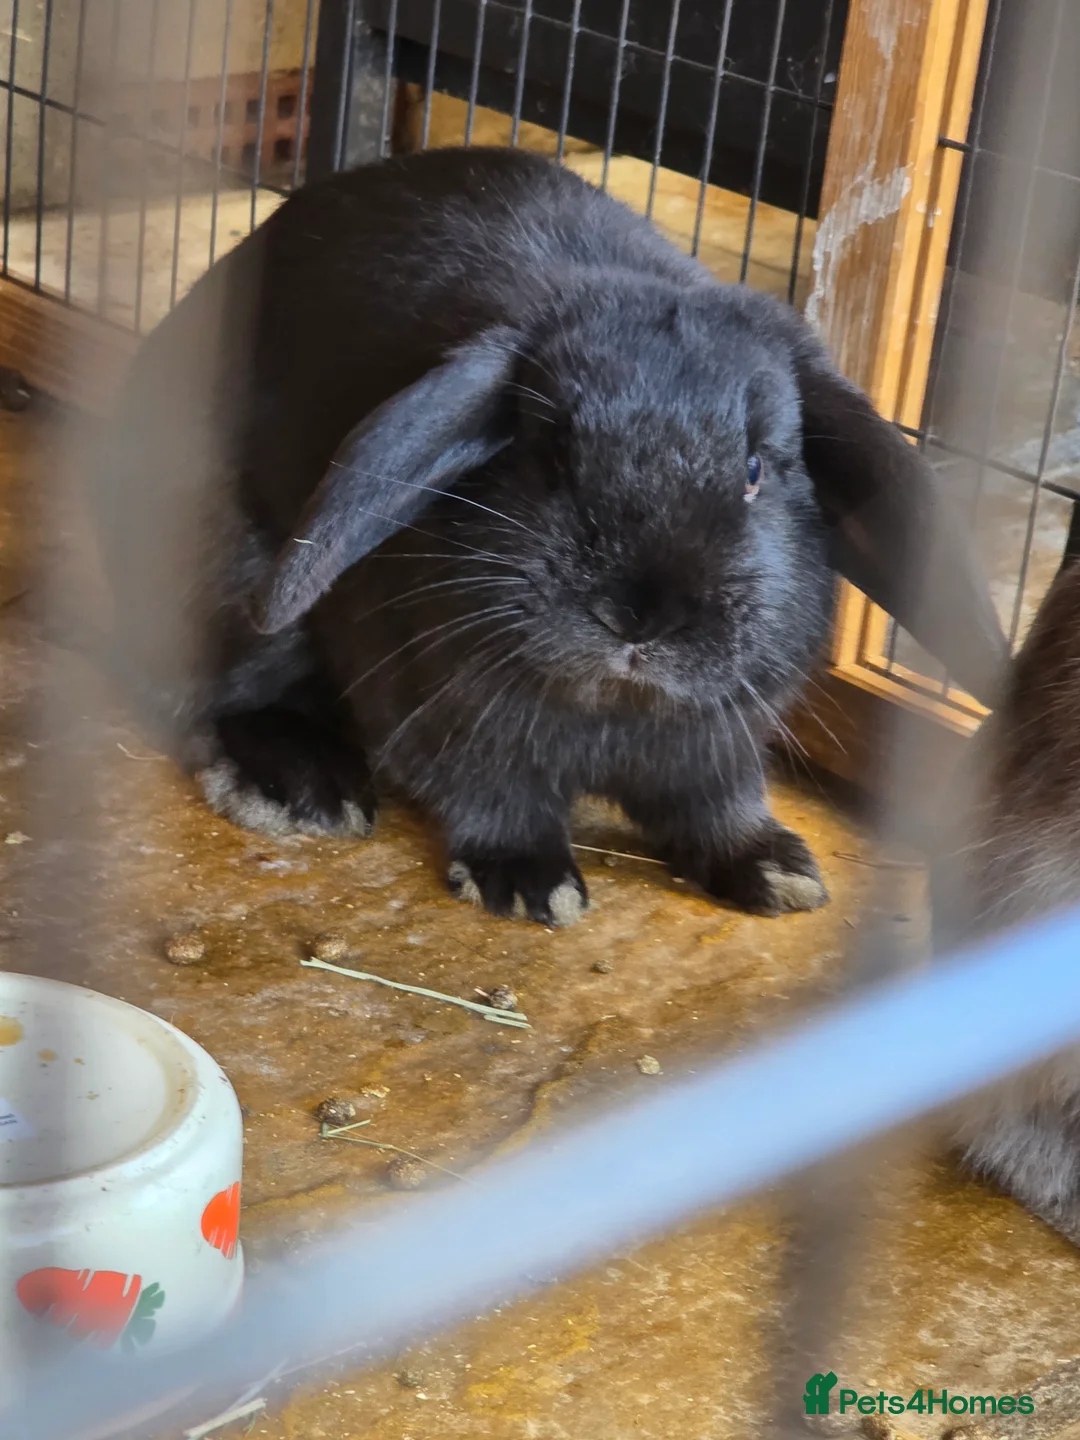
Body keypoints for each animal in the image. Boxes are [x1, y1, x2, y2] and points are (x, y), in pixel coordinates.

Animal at [93, 145, 1006, 929]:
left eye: (754, 468)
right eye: (553, 455)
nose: (641, 616)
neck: (612, 706)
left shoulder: (719, 742)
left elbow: (719, 805)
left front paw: (776, 871)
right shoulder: (443, 713)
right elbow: (492, 795)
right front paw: (529, 884)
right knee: (211, 696)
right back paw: (305, 790)